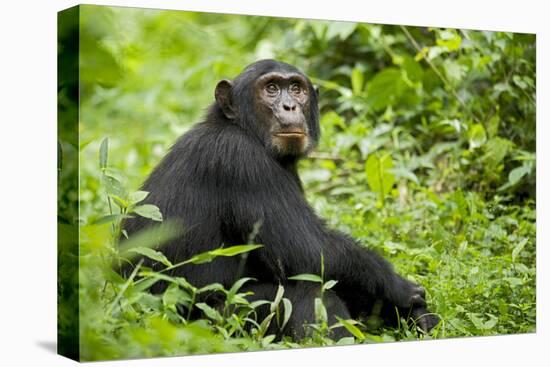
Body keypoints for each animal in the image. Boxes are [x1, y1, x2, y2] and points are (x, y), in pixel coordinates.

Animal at [123, 59, 442, 340]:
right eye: (272, 88)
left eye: (296, 88)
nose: (290, 106)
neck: (244, 130)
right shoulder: (243, 163)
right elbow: (309, 250)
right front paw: (402, 289)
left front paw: (417, 316)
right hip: (212, 322)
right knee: (308, 293)